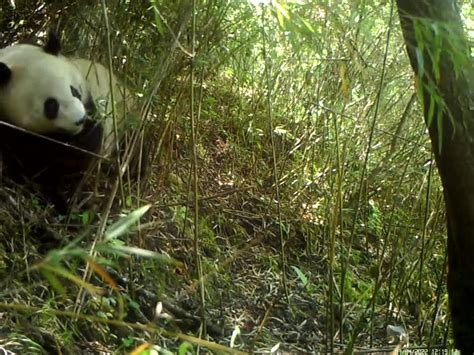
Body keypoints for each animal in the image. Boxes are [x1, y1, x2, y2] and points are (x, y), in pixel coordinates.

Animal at [0, 32, 124, 211]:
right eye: (51, 105)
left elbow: (89, 145)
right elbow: (33, 162)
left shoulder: (89, 102)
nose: (80, 120)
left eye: (74, 90)